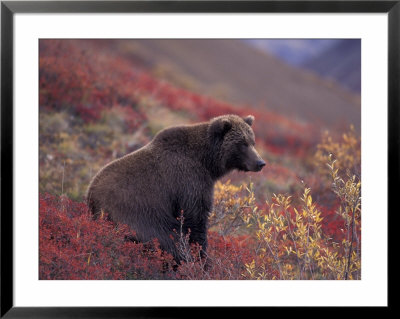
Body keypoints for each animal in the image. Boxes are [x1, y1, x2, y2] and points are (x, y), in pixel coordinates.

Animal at [85, 115, 266, 262]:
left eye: (253, 142)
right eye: (242, 144)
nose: (260, 162)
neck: (207, 162)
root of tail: (91, 197)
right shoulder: (188, 181)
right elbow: (195, 218)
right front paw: (202, 257)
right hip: (138, 215)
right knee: (166, 240)